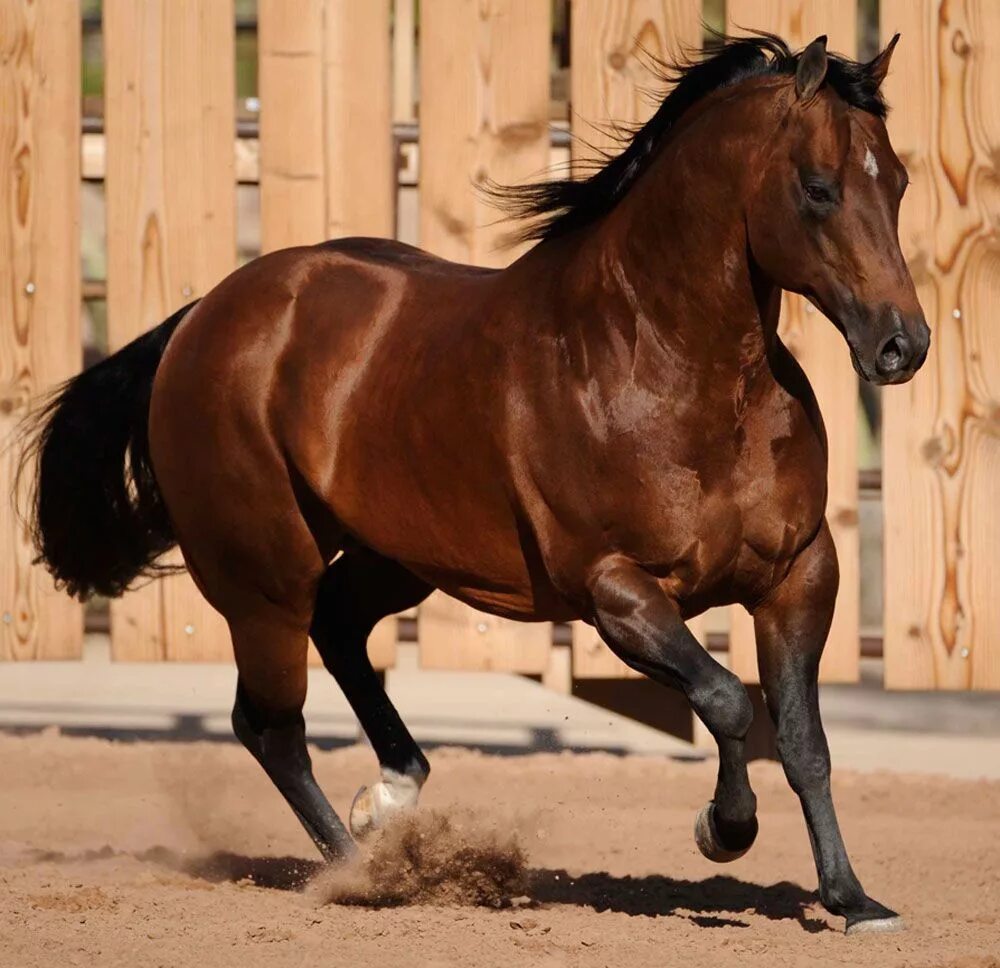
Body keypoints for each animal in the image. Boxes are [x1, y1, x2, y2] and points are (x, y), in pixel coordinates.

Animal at [21, 34, 928, 932]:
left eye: (899, 180)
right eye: (819, 188)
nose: (902, 345)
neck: (670, 367)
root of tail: (203, 316)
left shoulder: (800, 574)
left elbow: (805, 743)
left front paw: (853, 901)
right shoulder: (614, 589)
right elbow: (727, 700)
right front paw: (723, 829)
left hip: (400, 556)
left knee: (338, 630)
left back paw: (389, 799)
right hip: (265, 580)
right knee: (270, 724)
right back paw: (363, 872)